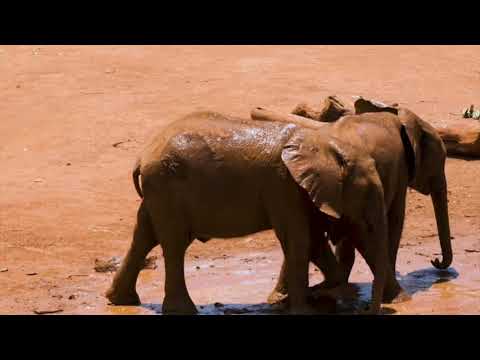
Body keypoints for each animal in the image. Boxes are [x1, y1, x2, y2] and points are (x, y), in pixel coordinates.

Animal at [107, 111, 392, 314]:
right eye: (368, 191)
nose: (370, 310)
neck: (321, 141)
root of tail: (143, 156)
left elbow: (312, 241)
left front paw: (327, 296)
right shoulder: (283, 186)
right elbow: (299, 240)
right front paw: (306, 310)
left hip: (159, 190)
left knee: (145, 236)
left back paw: (120, 300)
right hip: (166, 186)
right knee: (174, 243)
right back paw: (182, 311)